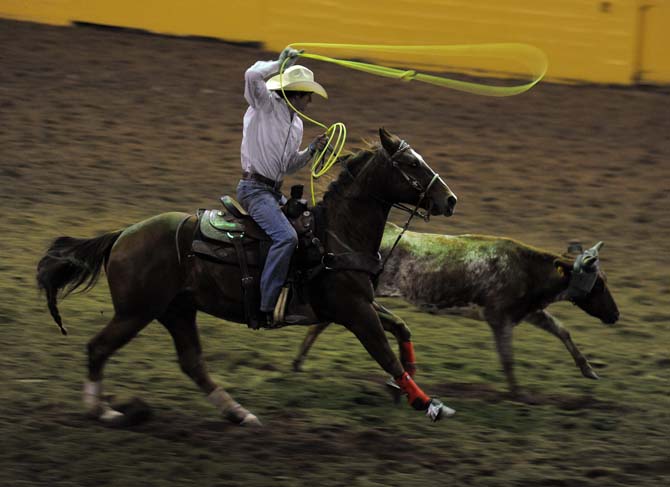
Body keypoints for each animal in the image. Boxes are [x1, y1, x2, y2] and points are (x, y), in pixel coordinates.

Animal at [35, 130, 456, 428]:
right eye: (412, 163)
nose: (450, 200)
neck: (335, 233)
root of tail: (122, 234)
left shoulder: (357, 304)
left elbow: (400, 329)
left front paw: (404, 386)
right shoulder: (353, 311)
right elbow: (385, 353)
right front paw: (426, 402)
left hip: (177, 310)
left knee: (192, 363)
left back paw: (239, 413)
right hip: (135, 312)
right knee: (98, 348)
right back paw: (103, 412)